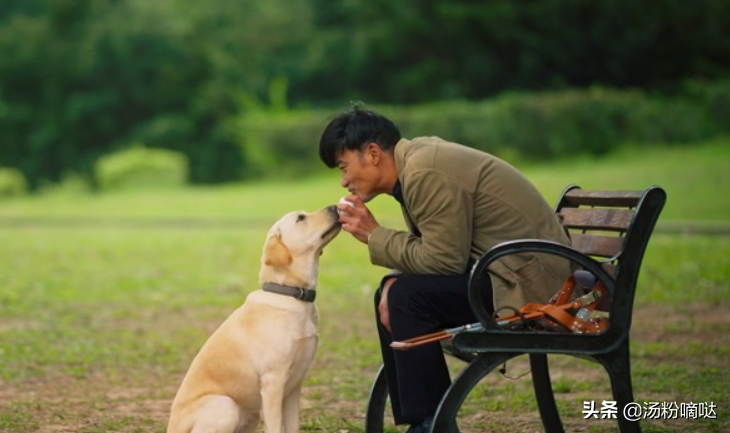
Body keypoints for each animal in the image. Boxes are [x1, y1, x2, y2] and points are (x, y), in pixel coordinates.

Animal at [168, 204, 342, 430]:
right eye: (301, 218)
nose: (335, 206)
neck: (289, 293)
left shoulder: (294, 387)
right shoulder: (273, 382)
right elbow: (276, 427)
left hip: (251, 416)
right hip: (226, 405)